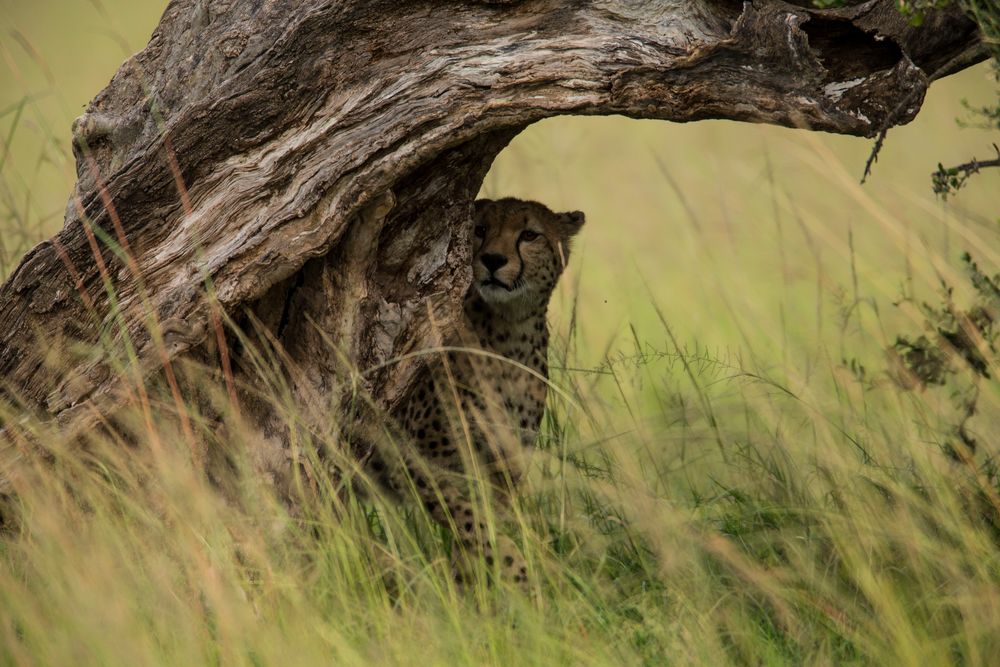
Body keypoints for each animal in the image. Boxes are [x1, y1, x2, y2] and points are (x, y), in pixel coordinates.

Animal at [366, 196, 584, 588]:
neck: (508, 332)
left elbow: (478, 531)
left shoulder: (503, 470)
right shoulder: (410, 459)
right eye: (480, 229)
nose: (493, 259)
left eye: (529, 234)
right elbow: (470, 521)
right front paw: (521, 575)